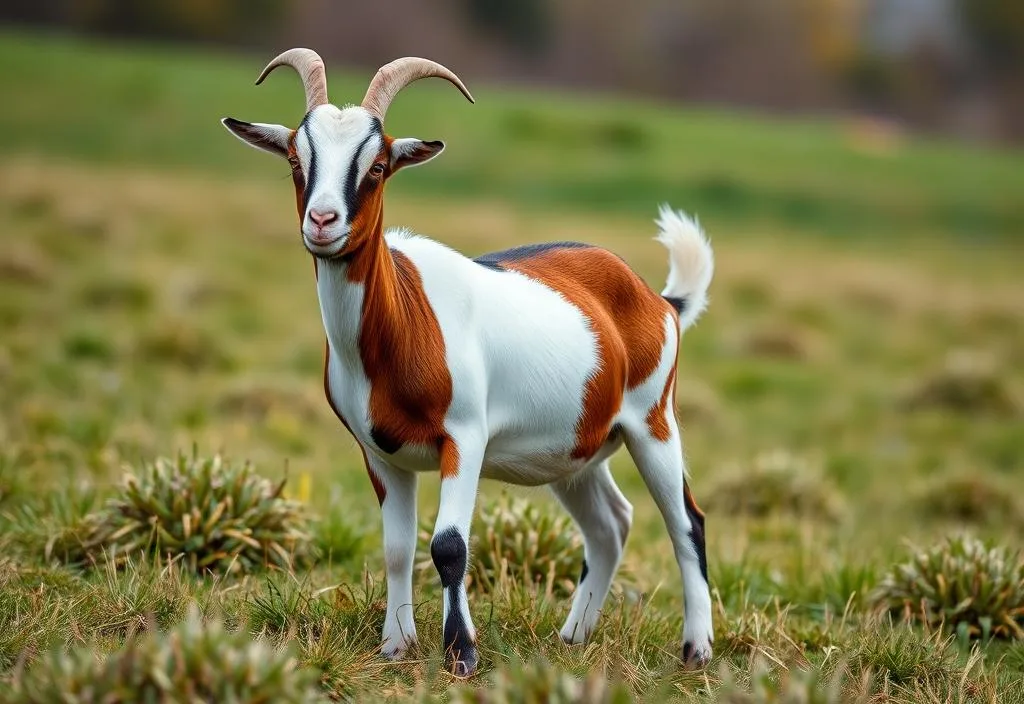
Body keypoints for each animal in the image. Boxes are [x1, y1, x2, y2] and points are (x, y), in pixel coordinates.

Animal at [222, 49, 720, 675]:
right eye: (295, 158)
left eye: (377, 166)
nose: (323, 222)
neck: (405, 316)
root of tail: (659, 299)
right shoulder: (378, 454)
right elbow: (397, 547)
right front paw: (395, 646)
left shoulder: (465, 437)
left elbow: (448, 546)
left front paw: (461, 655)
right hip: (575, 452)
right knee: (612, 524)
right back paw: (571, 638)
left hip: (654, 422)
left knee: (686, 522)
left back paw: (696, 649)